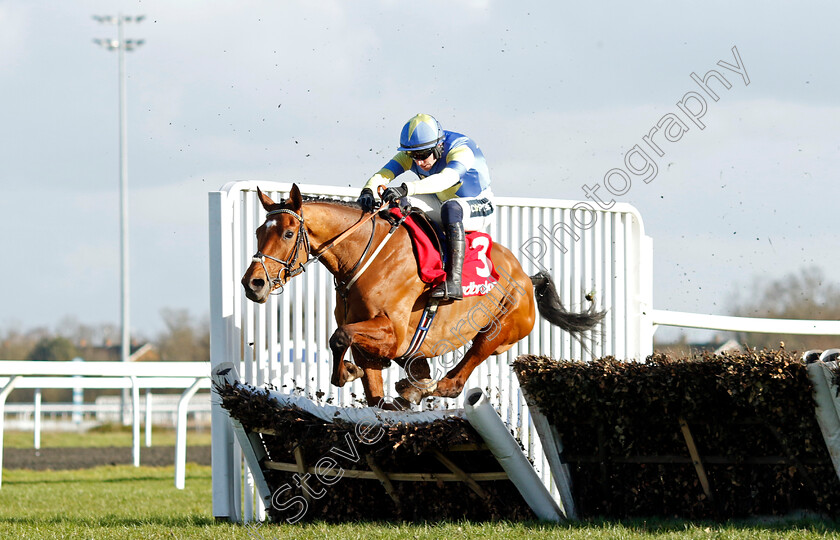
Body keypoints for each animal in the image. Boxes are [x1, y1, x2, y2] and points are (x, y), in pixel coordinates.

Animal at [241, 184, 604, 408]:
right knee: (422, 371)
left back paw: (429, 387)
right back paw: (415, 388)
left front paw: (346, 373)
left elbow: (339, 336)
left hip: (502, 328)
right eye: (258, 232)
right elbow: (370, 387)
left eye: (289, 233)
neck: (364, 258)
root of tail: (527, 277)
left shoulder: (393, 334)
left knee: (460, 375)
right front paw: (350, 374)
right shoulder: (370, 348)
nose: (252, 283)